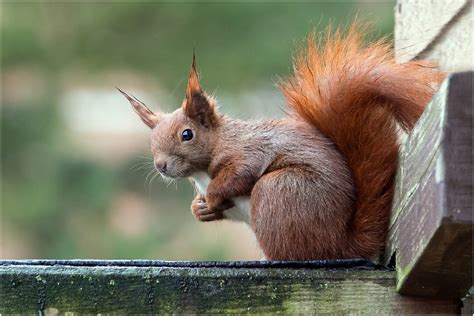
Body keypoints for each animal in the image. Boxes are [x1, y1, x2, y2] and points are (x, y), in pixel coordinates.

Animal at [118, 22, 444, 260]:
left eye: (187, 134)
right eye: (151, 140)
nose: (161, 166)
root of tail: (340, 245)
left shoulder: (250, 150)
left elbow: (240, 173)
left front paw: (210, 196)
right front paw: (200, 208)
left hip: (280, 191)